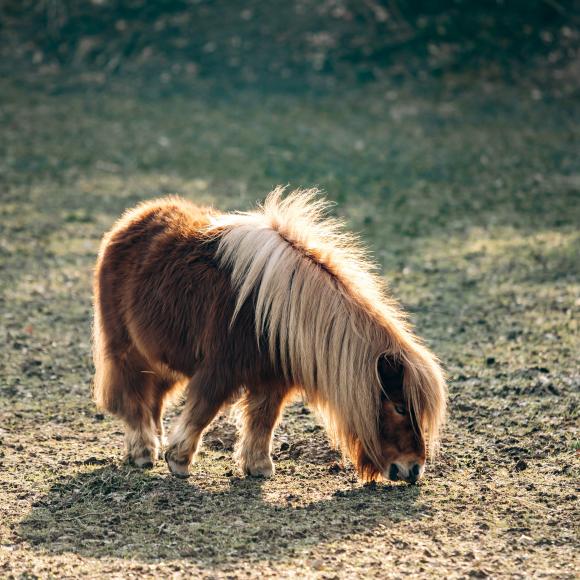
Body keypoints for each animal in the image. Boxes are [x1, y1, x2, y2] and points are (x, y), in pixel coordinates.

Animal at [93, 188, 446, 482]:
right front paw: (178, 461)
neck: (280, 313)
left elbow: (263, 421)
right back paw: (142, 452)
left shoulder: (273, 380)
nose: (413, 469)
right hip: (127, 350)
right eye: (399, 407)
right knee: (134, 398)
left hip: (164, 360)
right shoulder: (220, 371)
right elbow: (203, 412)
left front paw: (258, 467)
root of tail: (133, 219)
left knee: (154, 400)